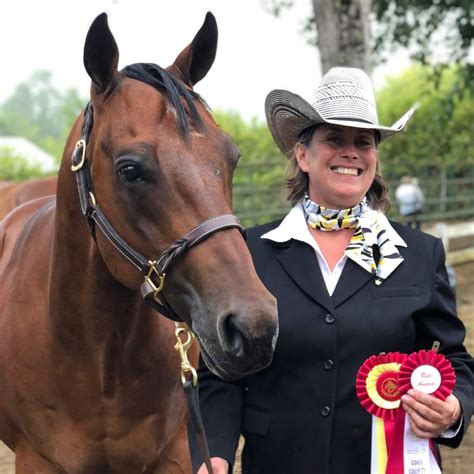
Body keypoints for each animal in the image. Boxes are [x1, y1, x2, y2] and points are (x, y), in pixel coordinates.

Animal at [0, 12, 278, 472]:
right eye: (130, 169)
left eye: (232, 157)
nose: (254, 328)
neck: (98, 361)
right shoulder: (38, 460)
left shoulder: (176, 454)